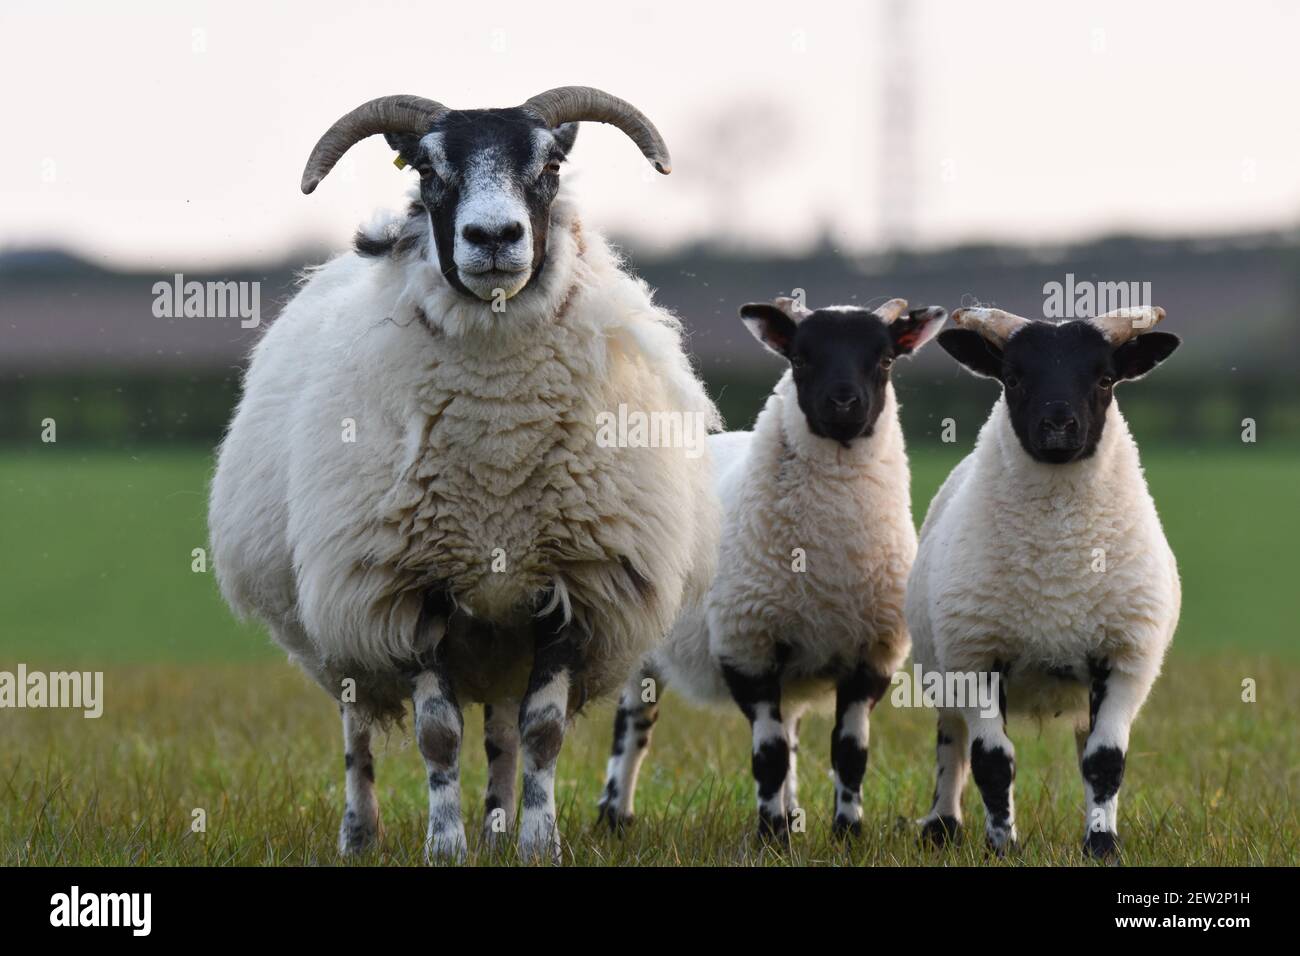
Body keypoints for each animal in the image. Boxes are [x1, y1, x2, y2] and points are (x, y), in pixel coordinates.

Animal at [211, 91, 722, 868]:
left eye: (551, 164)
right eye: (428, 169)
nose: (493, 236)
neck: (498, 459)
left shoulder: (570, 590)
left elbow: (541, 733)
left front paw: (537, 843)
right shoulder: (407, 590)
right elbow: (438, 735)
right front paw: (444, 846)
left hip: (501, 633)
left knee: (505, 732)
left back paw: (499, 826)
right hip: (344, 628)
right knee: (357, 733)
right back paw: (360, 834)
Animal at [595, 297, 946, 837]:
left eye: (886, 360)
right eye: (799, 359)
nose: (843, 404)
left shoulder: (872, 655)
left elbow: (850, 754)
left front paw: (847, 832)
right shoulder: (748, 646)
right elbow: (769, 755)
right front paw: (771, 836)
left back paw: (795, 812)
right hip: (646, 644)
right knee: (631, 727)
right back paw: (615, 814)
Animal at [909, 304, 1185, 858]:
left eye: (1105, 379)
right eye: (1013, 378)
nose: (1058, 425)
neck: (1058, 573)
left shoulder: (1126, 658)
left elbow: (1105, 760)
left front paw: (1102, 845)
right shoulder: (976, 656)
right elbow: (993, 761)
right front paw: (1002, 849)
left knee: (1085, 745)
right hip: (942, 667)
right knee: (952, 742)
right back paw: (942, 825)